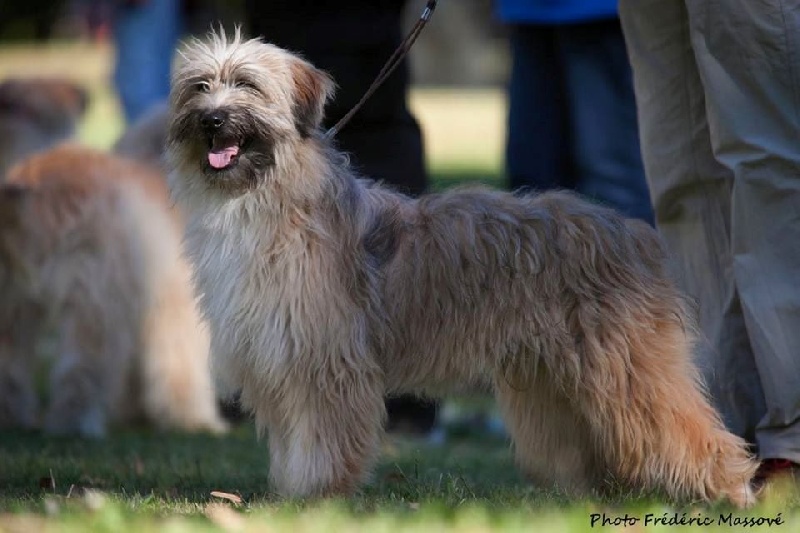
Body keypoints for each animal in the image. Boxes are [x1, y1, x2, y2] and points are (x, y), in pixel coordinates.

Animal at [0, 145, 227, 436]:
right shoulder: (175, 310)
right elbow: (179, 367)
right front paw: (191, 420)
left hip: (14, 308)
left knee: (10, 368)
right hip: (95, 308)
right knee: (81, 369)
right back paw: (75, 423)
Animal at [167, 31, 756, 504]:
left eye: (247, 85)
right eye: (198, 86)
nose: (213, 118)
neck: (261, 199)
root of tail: (630, 230)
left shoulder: (325, 363)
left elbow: (322, 440)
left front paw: (315, 496)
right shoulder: (279, 359)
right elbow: (294, 442)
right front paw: (289, 493)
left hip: (632, 368)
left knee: (691, 430)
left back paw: (733, 491)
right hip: (554, 382)